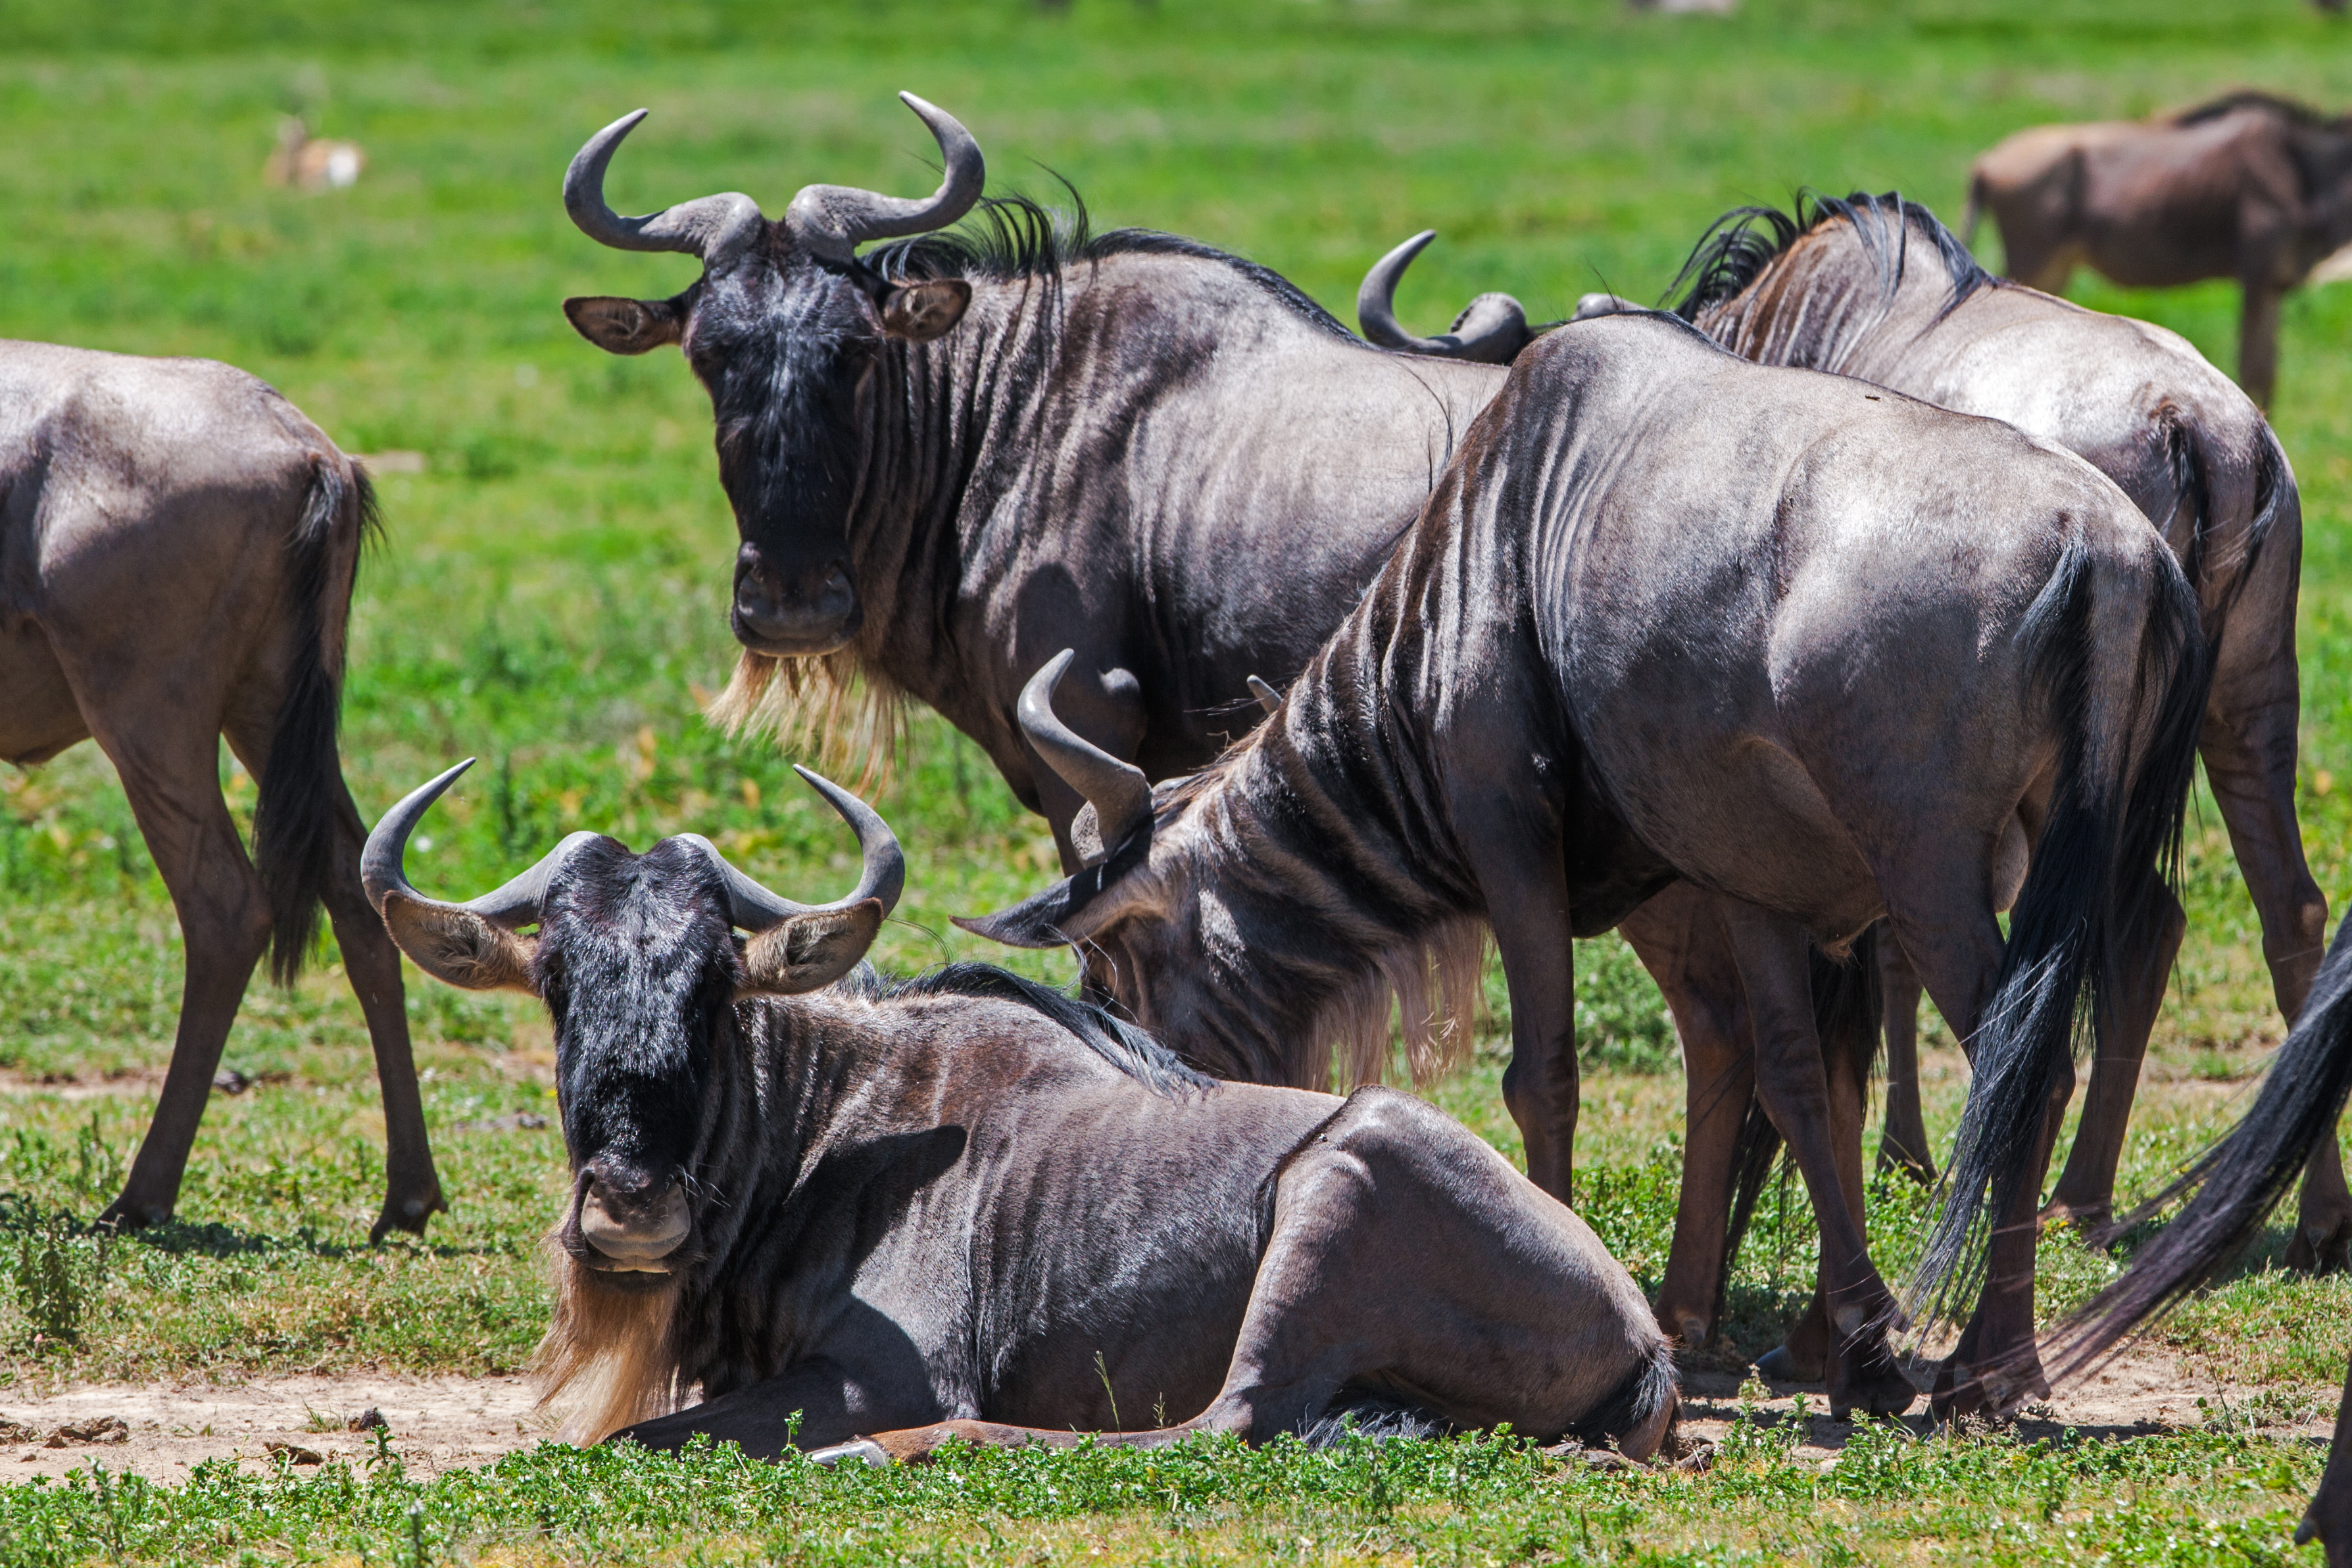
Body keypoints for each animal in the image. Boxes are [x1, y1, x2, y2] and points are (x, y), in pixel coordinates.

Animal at [0, 341, 442, 1240]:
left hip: (149, 718)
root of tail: (304, 447)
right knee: (361, 887)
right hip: (272, 712)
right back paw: (407, 1195)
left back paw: (141, 1195)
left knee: (225, 905)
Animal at [358, 759, 1681, 1463]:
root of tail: (1643, 1329)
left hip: (1342, 1180)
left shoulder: (878, 1372)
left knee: (1212, 1426)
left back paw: (894, 1456)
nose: (631, 1212)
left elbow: (621, 1439)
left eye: (718, 980)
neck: (821, 1129)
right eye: (555, 979)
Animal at [960, 308, 2210, 1420]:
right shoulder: (1741, 879)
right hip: (2060, 860)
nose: (1144, 1136)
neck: (1481, 559)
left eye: (1108, 973)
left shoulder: (1512, 838)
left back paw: (1991, 1369)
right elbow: (1790, 1075)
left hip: (1934, 877)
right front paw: (1836, 1344)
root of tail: (2103, 544)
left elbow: (1544, 1074)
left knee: (2022, 1069)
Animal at [1962, 91, 2352, 407]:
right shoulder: (2258, 279)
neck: (2307, 171)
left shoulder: (2272, 285)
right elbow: (2255, 370)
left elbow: (2266, 371)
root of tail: (1985, 162)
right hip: (2036, 262)